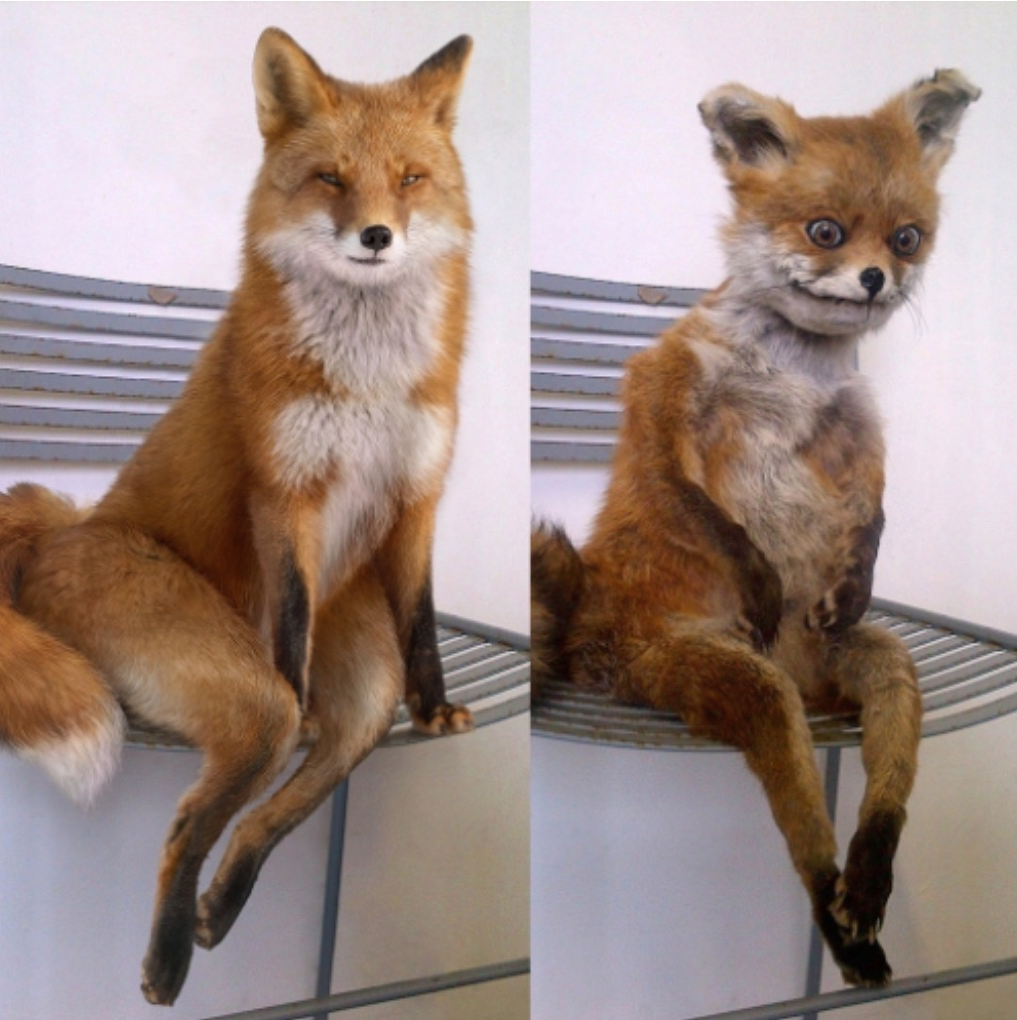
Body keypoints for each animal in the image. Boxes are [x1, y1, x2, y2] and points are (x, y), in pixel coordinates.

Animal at [0, 27, 475, 1006]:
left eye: (410, 179)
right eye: (331, 179)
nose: (376, 236)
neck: (368, 375)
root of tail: (52, 534)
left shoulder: (417, 492)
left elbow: (420, 617)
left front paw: (437, 705)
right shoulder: (283, 492)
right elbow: (286, 616)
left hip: (363, 687)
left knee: (292, 792)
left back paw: (221, 905)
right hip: (239, 688)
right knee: (211, 798)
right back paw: (169, 957)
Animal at [532, 70, 979, 987]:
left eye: (907, 238)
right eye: (825, 231)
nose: (875, 279)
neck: (792, 378)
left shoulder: (857, 434)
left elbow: (874, 511)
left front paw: (856, 572)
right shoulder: (663, 401)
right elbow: (700, 508)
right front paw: (760, 574)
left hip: (877, 665)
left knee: (886, 784)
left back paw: (866, 887)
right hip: (737, 684)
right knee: (801, 824)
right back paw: (833, 907)